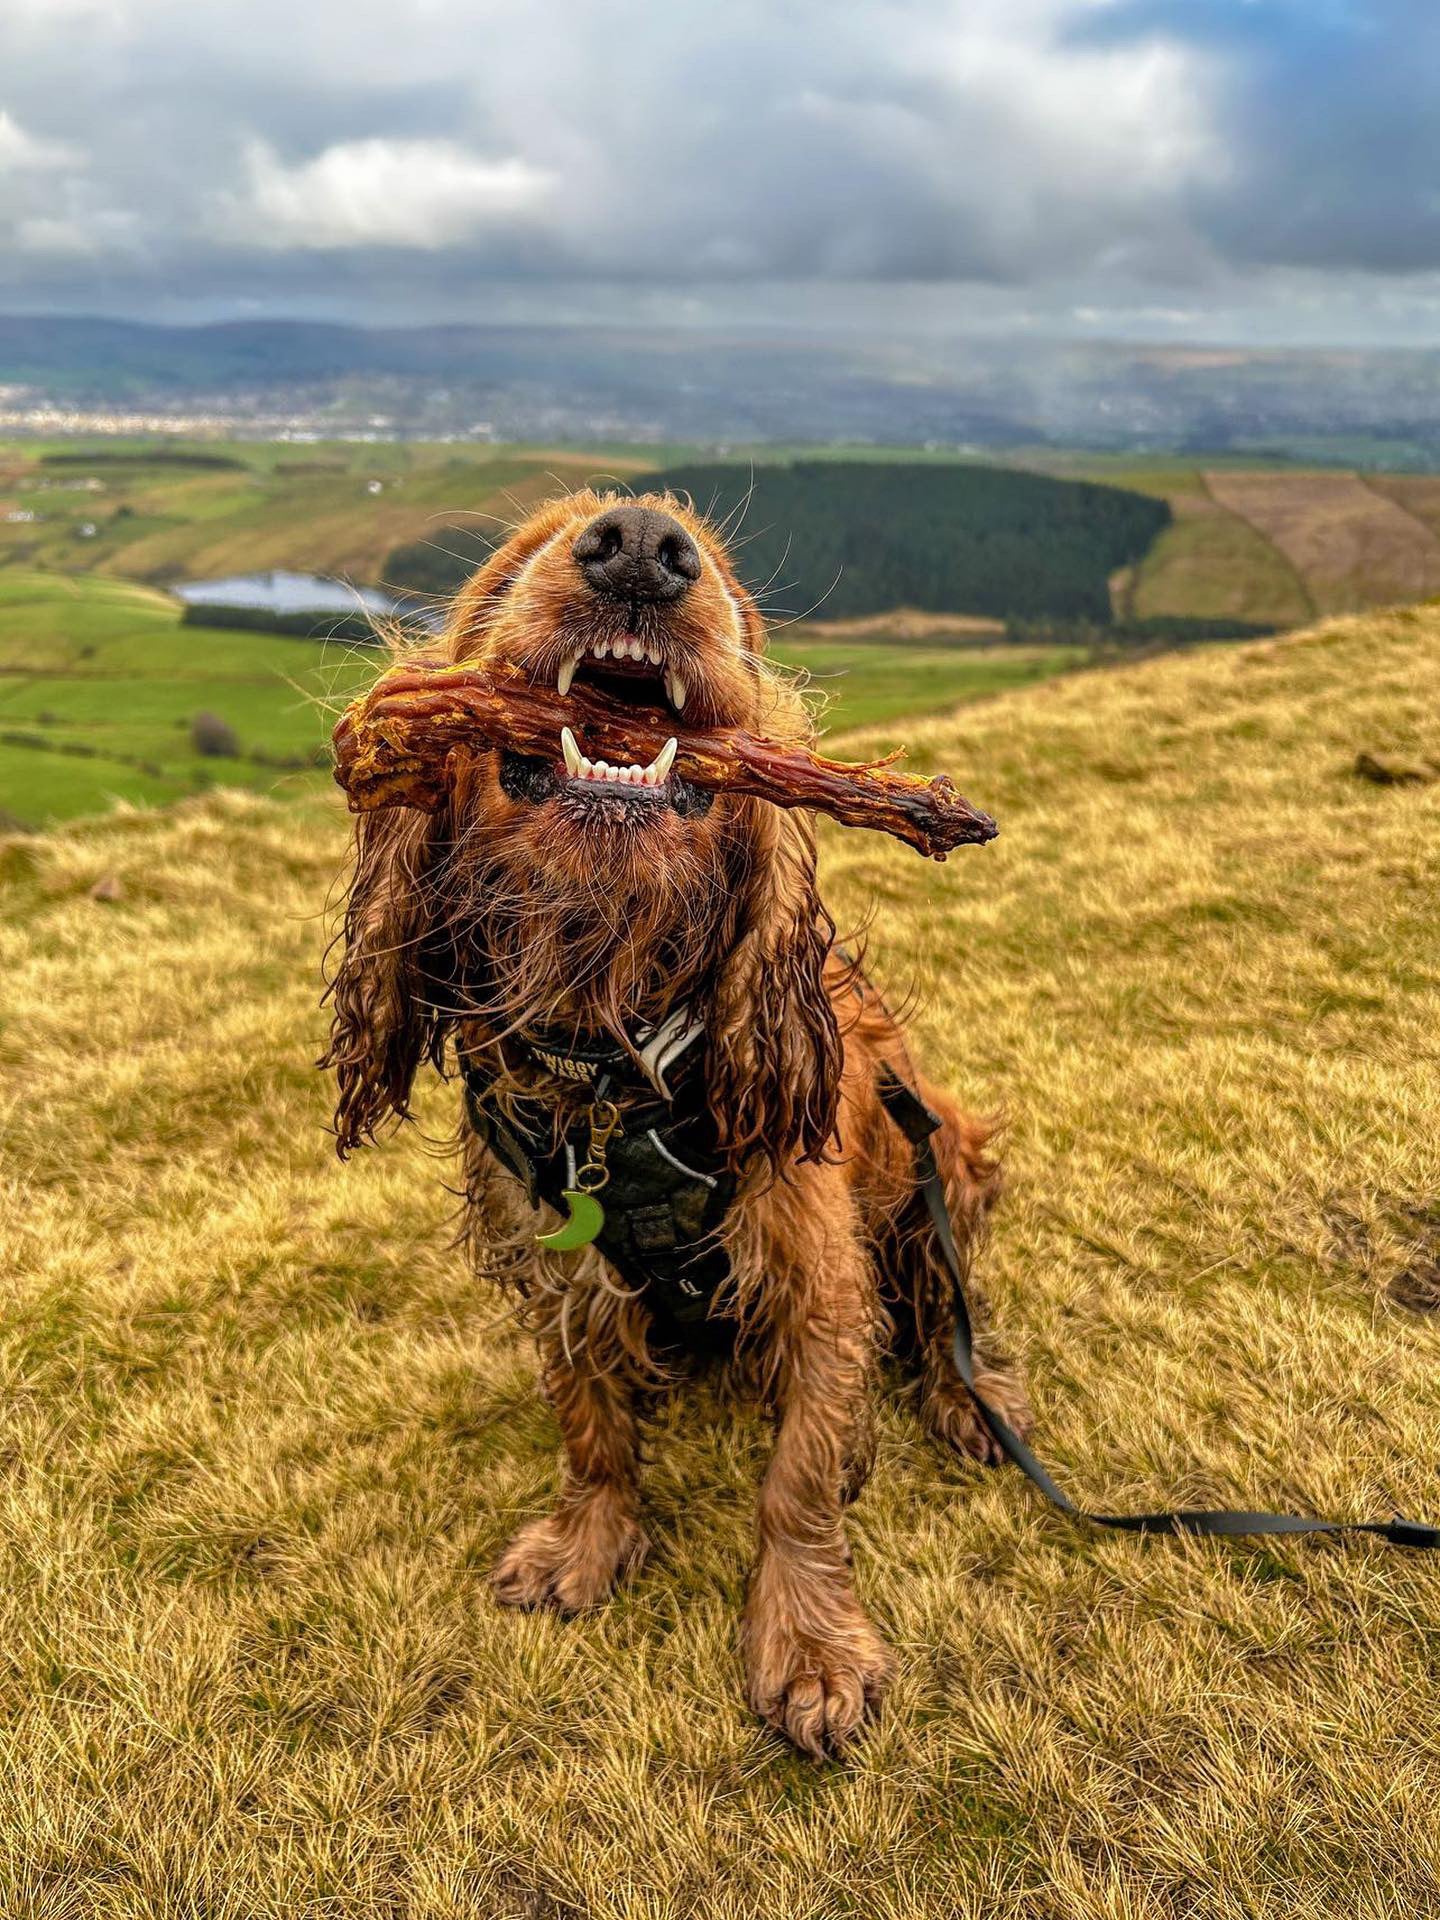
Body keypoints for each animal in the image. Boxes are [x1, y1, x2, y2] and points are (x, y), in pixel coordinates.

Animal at [322, 491, 1029, 1758]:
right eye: (516, 559)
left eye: (737, 604)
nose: (643, 546)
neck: (614, 1046)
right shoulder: (559, 1266)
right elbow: (589, 1425)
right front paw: (588, 1542)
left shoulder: (814, 1269)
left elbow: (798, 1479)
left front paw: (810, 1645)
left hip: (935, 1162)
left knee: (944, 1305)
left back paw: (969, 1398)